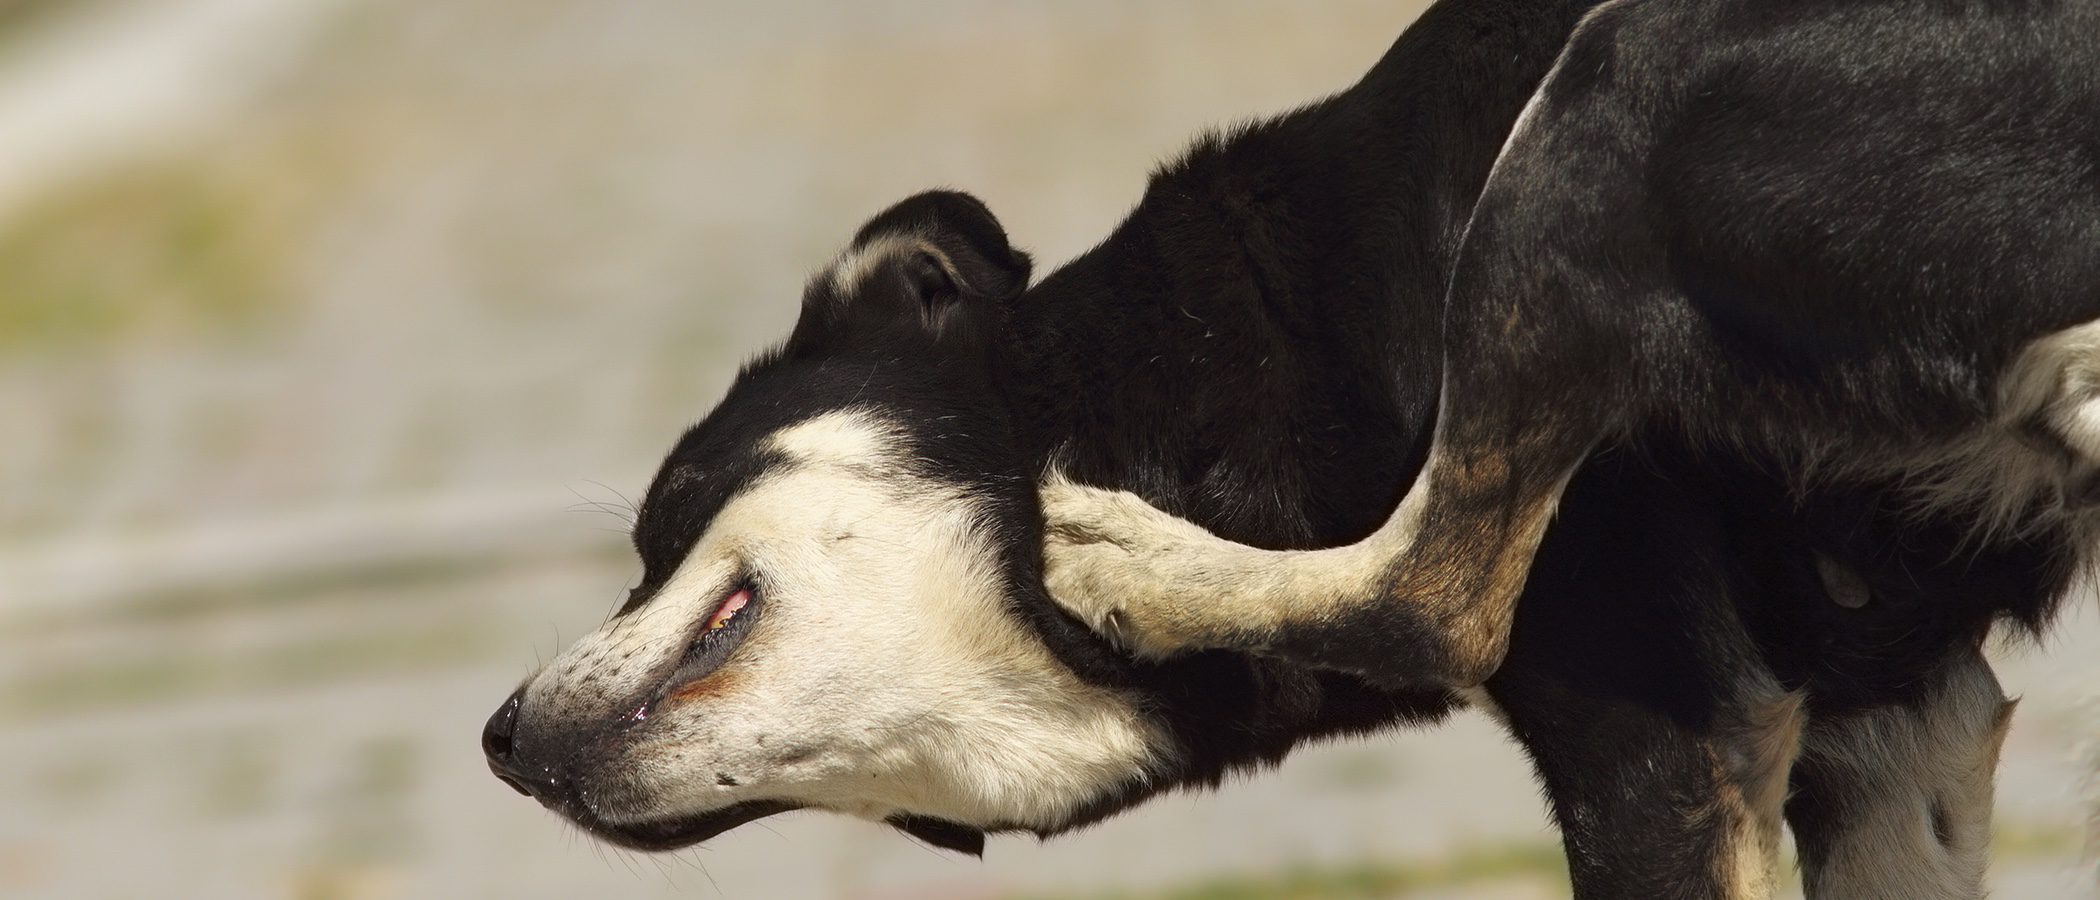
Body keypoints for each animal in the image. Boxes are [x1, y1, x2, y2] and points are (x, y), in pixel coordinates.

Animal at [487, 3, 2083, 893]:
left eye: (662, 523)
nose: (497, 741)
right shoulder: (1892, 732)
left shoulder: (1663, 739)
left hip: (1609, 85)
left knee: (1434, 596)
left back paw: (1134, 558)